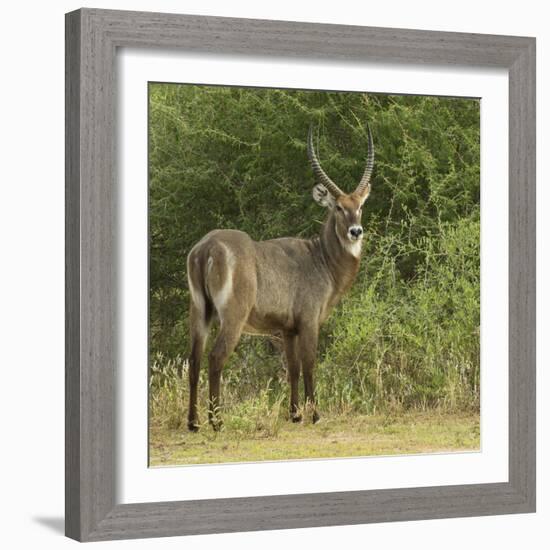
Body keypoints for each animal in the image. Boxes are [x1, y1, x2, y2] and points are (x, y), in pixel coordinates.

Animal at [187, 125, 376, 432]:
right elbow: (309, 364)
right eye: (337, 207)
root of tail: (207, 247)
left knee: (193, 359)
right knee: (215, 357)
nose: (355, 231)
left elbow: (293, 368)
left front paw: (295, 414)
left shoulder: (288, 329)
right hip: (233, 317)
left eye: (359, 206)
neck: (321, 258)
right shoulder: (309, 322)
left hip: (199, 311)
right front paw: (315, 414)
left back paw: (193, 422)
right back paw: (217, 421)